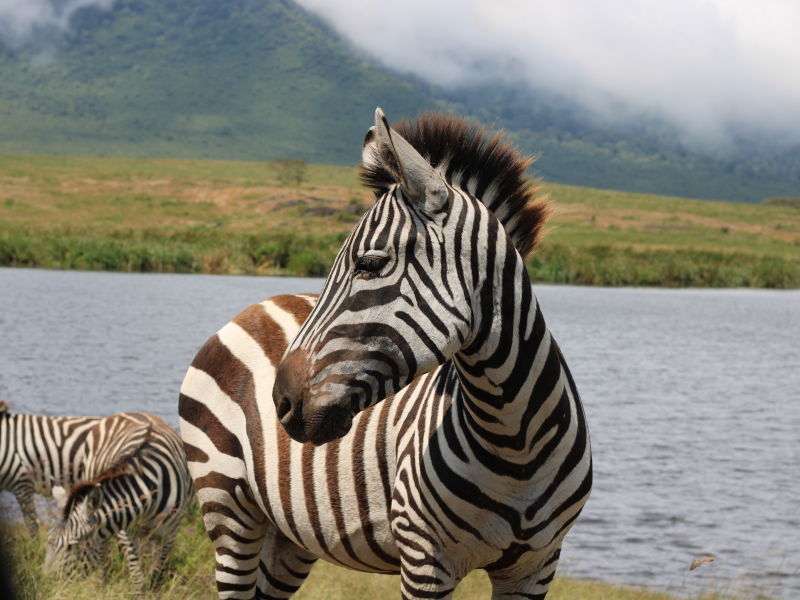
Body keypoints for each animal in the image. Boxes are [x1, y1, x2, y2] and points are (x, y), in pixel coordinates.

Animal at [43, 412, 194, 592]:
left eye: (71, 546)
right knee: (103, 553)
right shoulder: (126, 531)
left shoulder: (170, 534)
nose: (46, 583)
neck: (149, 493)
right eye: (48, 541)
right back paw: (104, 583)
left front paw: (153, 591)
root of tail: (127, 413)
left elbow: (156, 575)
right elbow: (137, 577)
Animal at [183, 109, 592, 600]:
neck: (515, 445)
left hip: (290, 533)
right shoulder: (424, 559)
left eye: (370, 264)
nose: (281, 402)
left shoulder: (536, 567)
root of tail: (255, 306)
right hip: (227, 504)